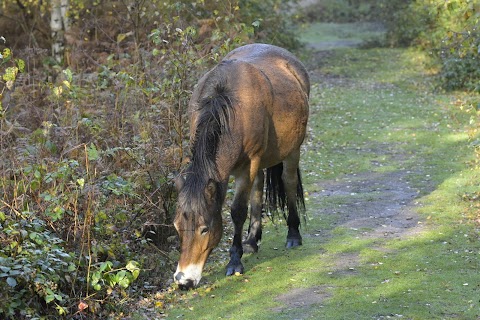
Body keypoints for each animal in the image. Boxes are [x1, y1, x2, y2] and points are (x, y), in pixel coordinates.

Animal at [172, 43, 308, 290]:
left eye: (204, 229)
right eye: (177, 227)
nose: (183, 280)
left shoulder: (248, 165)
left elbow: (237, 211)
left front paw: (234, 261)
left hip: (292, 151)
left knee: (289, 182)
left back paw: (293, 234)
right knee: (258, 187)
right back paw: (252, 240)